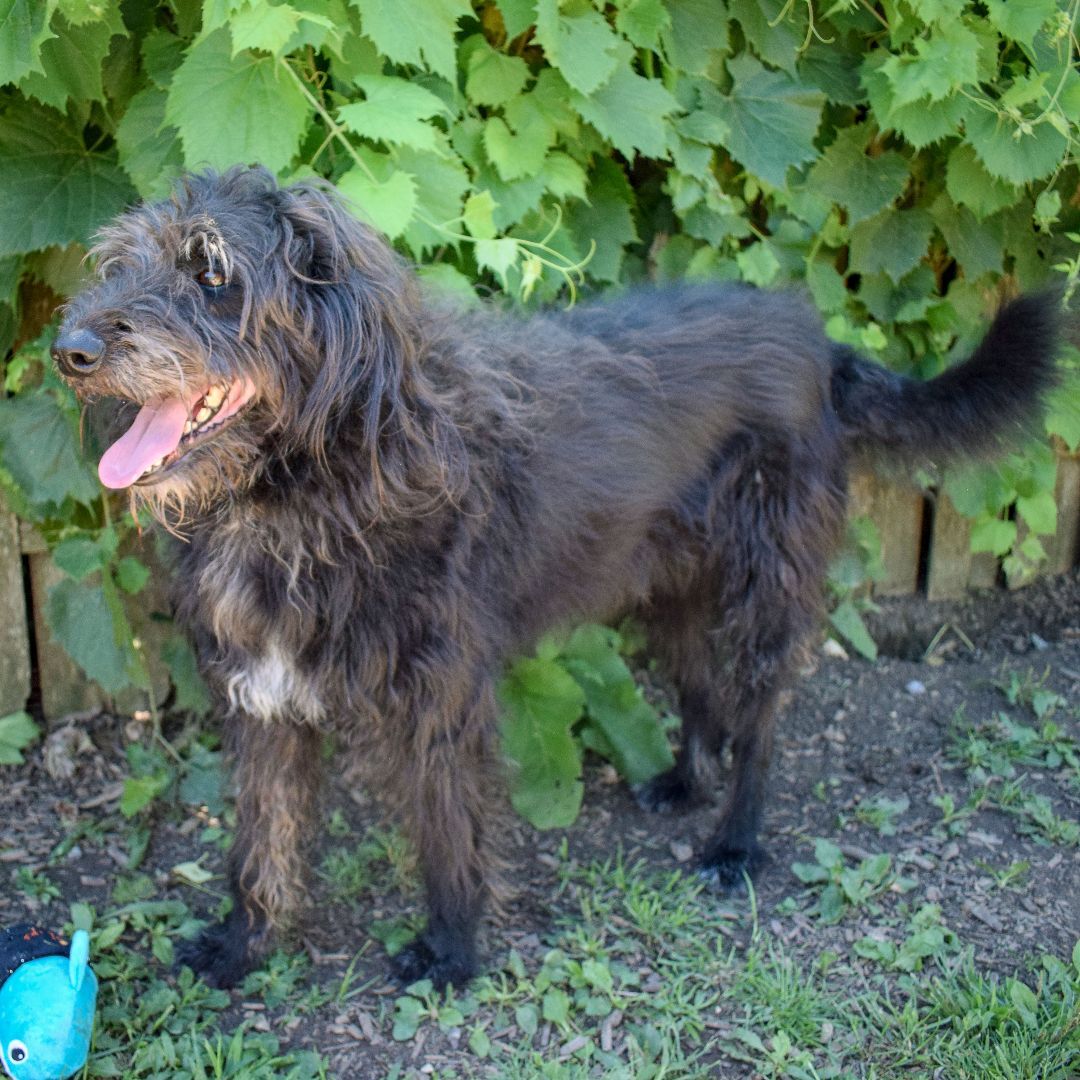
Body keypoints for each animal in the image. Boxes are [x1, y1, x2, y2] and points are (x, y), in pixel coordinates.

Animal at [50, 166, 1054, 989]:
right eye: (121, 261)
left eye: (212, 272)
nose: (70, 349)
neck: (309, 484)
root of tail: (819, 342)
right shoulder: (264, 697)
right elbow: (261, 838)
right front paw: (243, 945)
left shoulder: (442, 697)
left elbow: (449, 831)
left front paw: (451, 952)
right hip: (670, 584)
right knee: (699, 686)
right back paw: (681, 783)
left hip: (764, 587)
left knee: (763, 720)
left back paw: (734, 841)